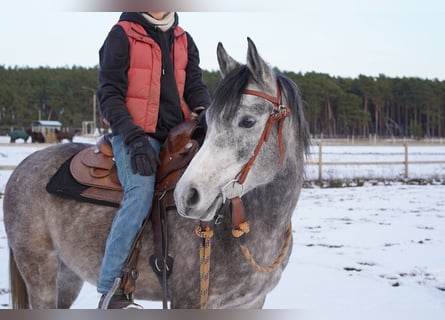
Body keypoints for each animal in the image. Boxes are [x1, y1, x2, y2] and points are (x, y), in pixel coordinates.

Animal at [3, 38, 308, 308]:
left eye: (247, 121)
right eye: (209, 121)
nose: (188, 195)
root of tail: (23, 166)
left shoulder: (252, 302)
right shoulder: (189, 302)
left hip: (67, 276)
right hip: (40, 270)